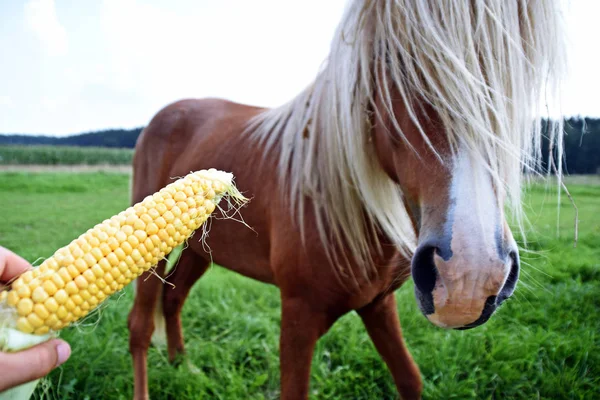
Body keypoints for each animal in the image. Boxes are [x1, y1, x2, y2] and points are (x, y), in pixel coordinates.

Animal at [124, 1, 564, 398]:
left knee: (174, 298)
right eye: (392, 59)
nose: (468, 280)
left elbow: (409, 379)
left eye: (516, 69)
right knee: (140, 325)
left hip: (201, 248)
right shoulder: (299, 317)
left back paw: (185, 368)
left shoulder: (378, 305)